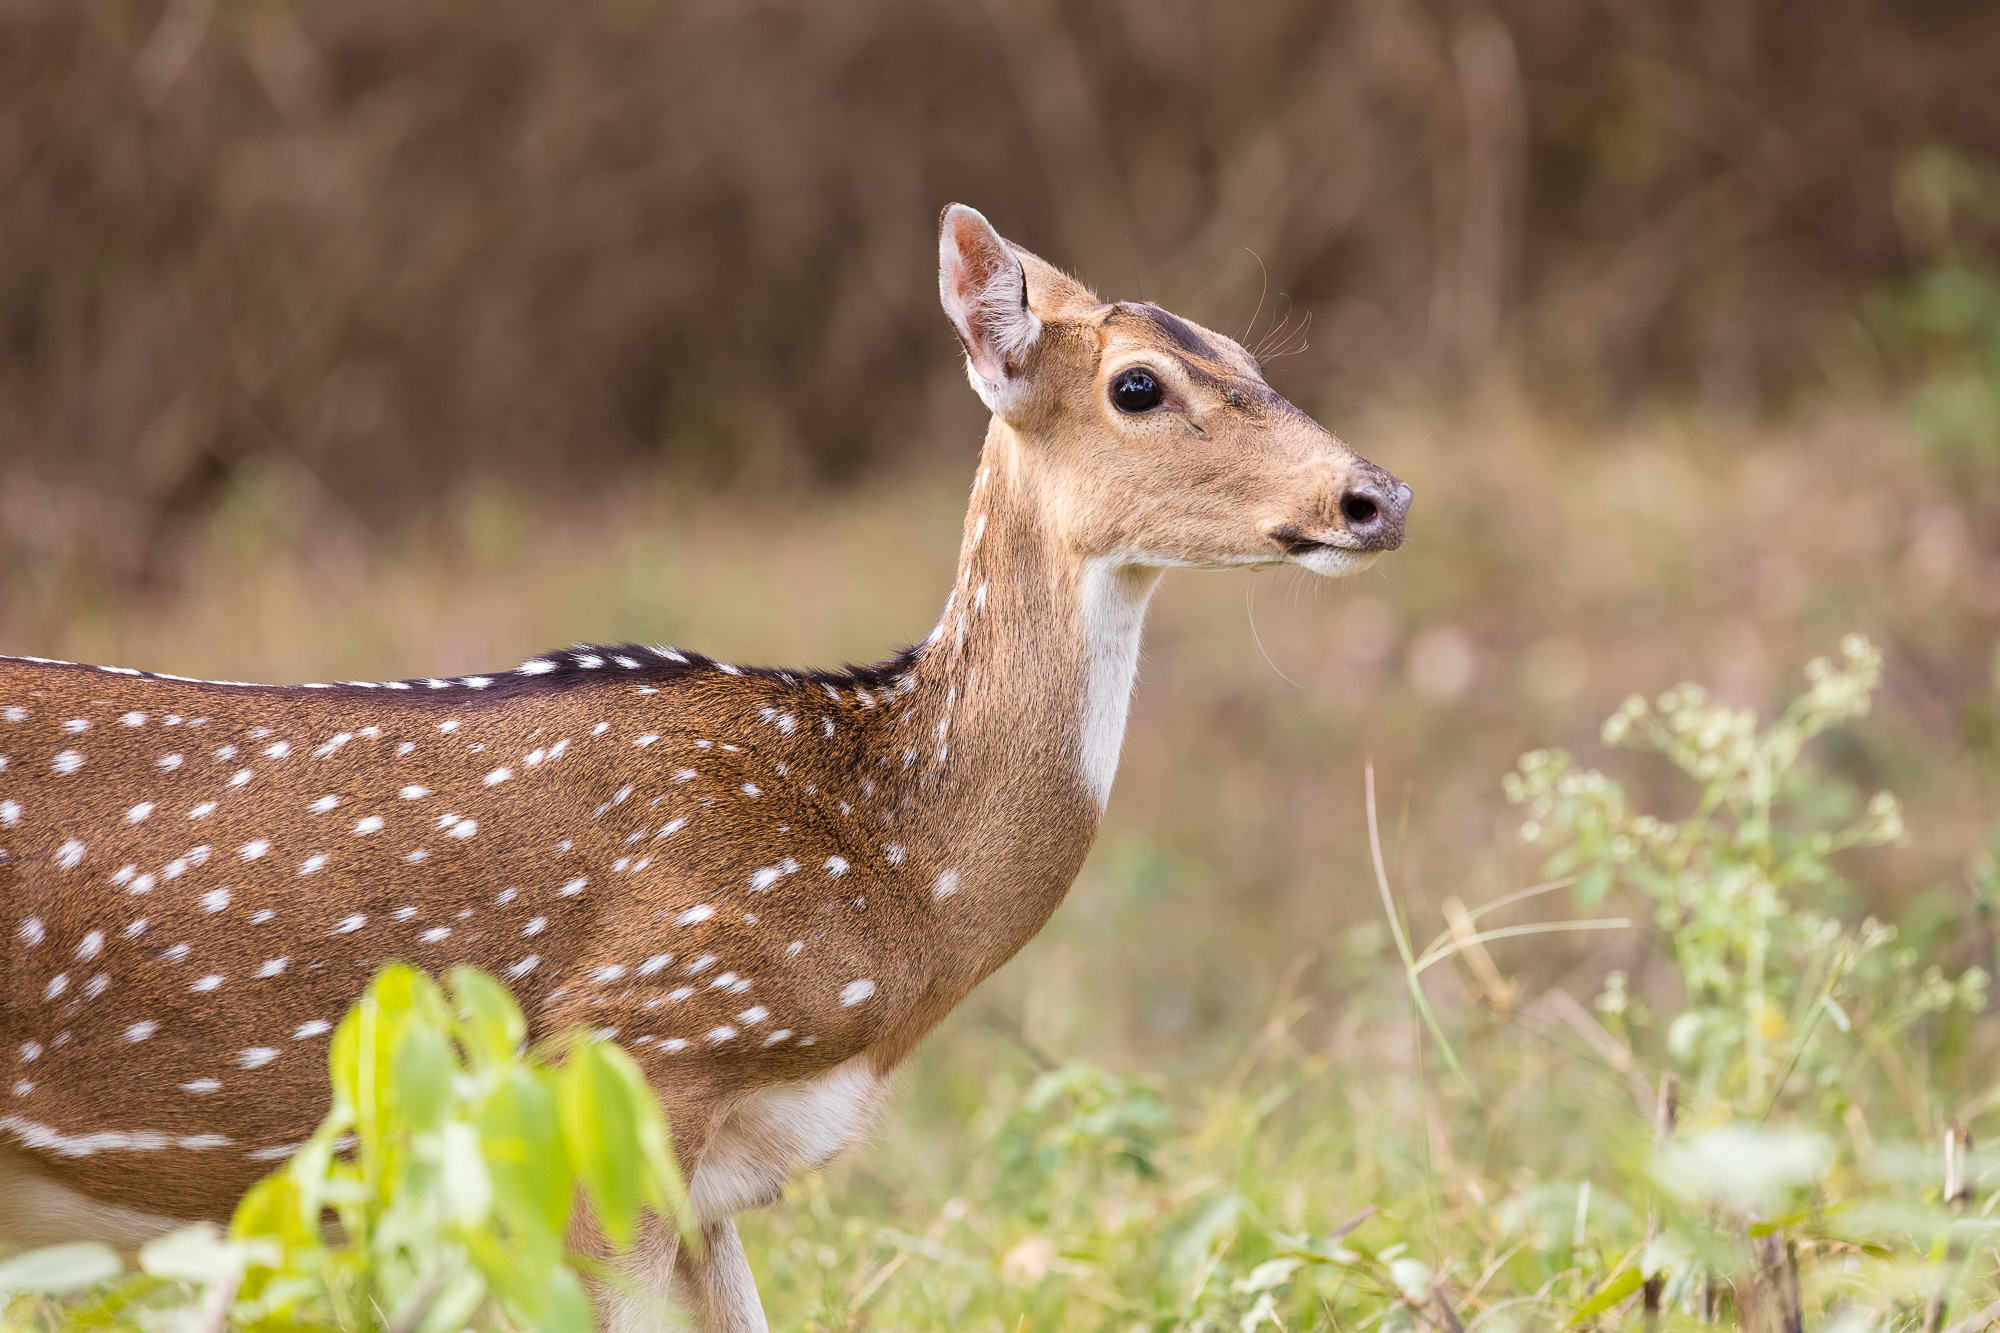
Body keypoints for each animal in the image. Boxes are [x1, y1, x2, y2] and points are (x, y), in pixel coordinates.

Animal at [0, 202, 1408, 1320]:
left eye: (1247, 354)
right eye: (1137, 386)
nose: (1376, 497)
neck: (890, 885)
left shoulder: (715, 1180)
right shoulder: (624, 1064)